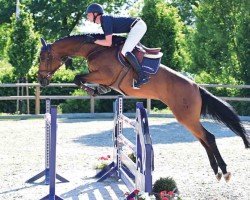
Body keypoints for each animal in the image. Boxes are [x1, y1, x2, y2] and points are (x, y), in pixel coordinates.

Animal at [37, 34, 250, 181]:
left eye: (43, 58)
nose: (41, 80)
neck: (94, 50)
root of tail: (196, 87)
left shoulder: (103, 74)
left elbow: (78, 78)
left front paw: (91, 90)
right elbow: (81, 79)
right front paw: (97, 90)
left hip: (186, 117)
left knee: (209, 137)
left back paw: (225, 171)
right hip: (186, 118)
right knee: (204, 140)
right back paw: (217, 171)